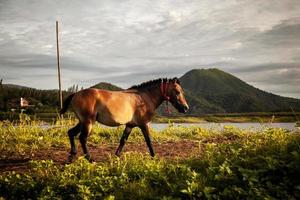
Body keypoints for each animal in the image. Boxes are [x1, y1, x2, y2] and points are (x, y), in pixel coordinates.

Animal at [59, 77, 189, 162]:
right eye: (177, 92)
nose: (185, 108)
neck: (144, 98)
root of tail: (76, 94)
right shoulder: (144, 124)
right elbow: (149, 141)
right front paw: (154, 156)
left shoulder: (129, 125)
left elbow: (123, 140)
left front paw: (117, 156)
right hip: (88, 122)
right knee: (82, 138)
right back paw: (89, 158)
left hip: (82, 121)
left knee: (71, 133)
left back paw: (72, 156)